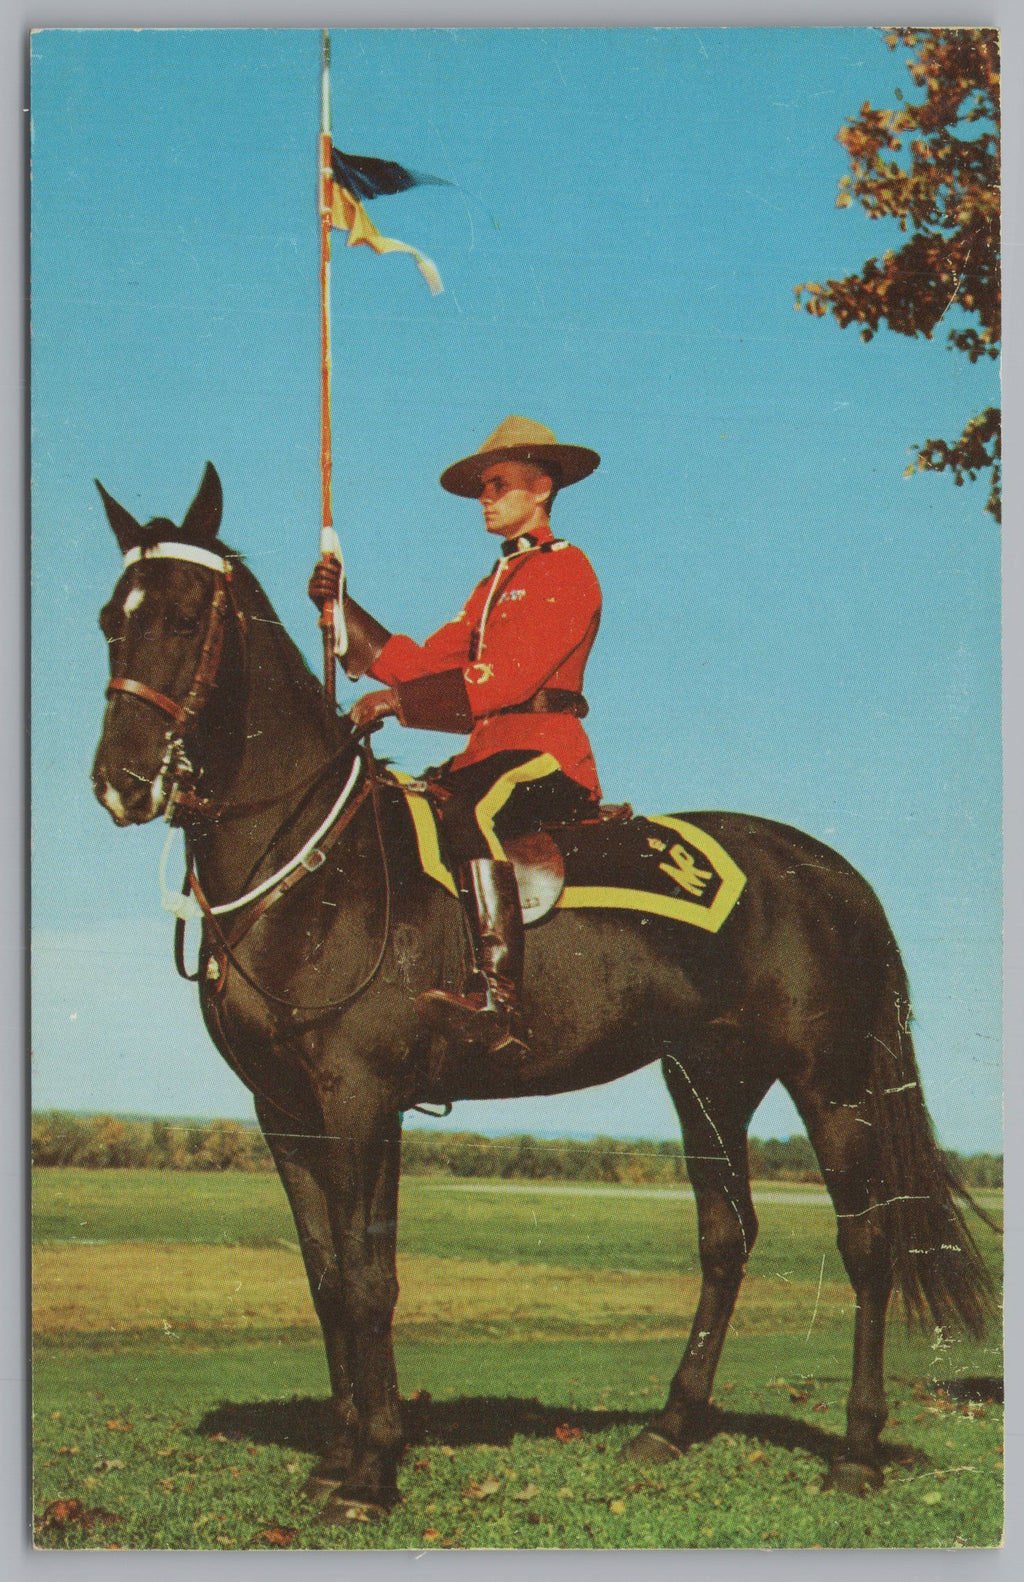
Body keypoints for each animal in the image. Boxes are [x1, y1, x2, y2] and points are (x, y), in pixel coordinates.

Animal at [92, 465, 987, 1518]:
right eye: (112, 618)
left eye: (188, 617)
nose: (120, 782)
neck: (312, 864)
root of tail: (830, 872)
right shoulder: (286, 1110)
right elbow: (325, 1279)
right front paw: (336, 1456)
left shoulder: (361, 1100)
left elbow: (369, 1279)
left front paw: (372, 1469)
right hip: (709, 1080)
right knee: (725, 1238)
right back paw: (669, 1427)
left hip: (832, 1081)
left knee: (867, 1245)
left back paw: (854, 1450)